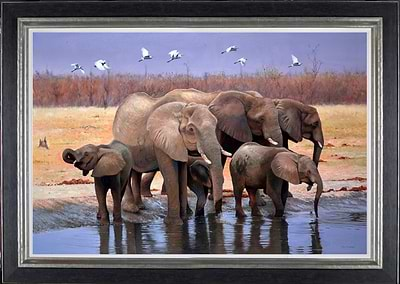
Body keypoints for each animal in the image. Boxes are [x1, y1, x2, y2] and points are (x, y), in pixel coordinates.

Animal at [114, 94, 230, 225]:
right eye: (191, 129)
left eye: (216, 125)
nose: (218, 216)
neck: (181, 111)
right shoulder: (161, 140)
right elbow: (170, 173)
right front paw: (174, 223)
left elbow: (182, 173)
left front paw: (186, 217)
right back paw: (132, 209)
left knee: (136, 172)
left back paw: (141, 207)